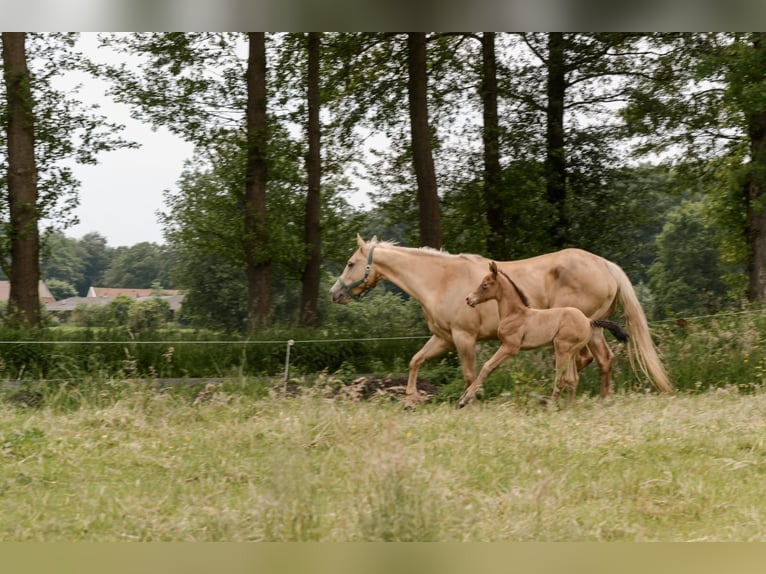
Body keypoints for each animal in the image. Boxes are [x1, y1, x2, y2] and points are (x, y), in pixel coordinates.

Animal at [456, 264, 632, 408]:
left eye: (484, 285)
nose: (468, 299)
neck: (515, 314)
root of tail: (588, 320)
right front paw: (463, 399)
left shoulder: (510, 347)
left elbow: (487, 367)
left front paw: (463, 401)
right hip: (571, 351)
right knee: (573, 378)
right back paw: (567, 407)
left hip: (561, 348)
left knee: (562, 378)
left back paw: (550, 405)